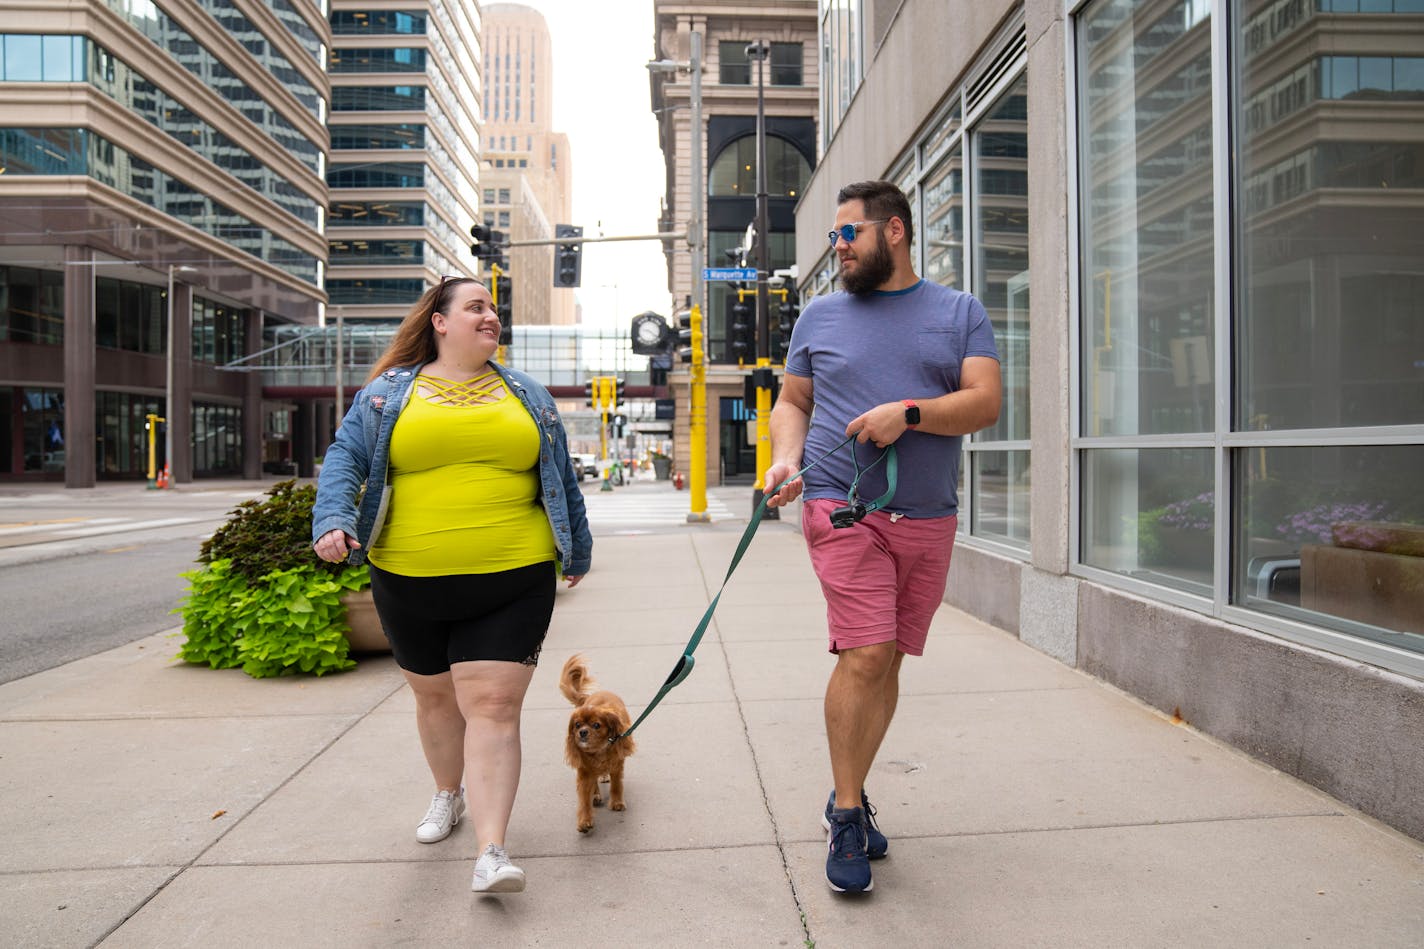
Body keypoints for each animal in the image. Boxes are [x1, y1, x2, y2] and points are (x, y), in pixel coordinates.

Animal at [558, 649, 637, 826]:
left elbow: (616, 785)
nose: (582, 732)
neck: (599, 751)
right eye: (577, 725)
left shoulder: (617, 765)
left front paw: (617, 803)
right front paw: (584, 820)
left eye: (596, 725)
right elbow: (584, 798)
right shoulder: (585, 771)